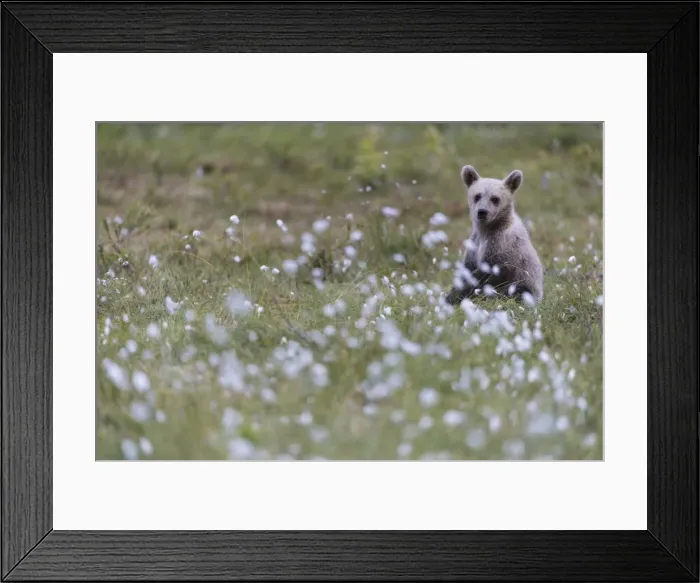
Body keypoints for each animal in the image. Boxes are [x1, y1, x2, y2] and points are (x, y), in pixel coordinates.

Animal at [445, 164, 544, 306]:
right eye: (477, 196)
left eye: (495, 199)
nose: (482, 212)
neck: (487, 230)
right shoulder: (474, 245)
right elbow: (467, 272)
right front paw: (451, 297)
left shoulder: (501, 247)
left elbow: (488, 276)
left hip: (527, 286)